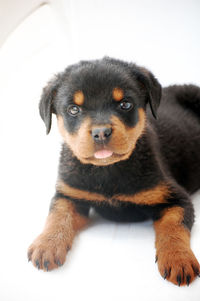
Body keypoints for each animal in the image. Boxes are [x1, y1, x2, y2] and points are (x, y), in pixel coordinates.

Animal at [27, 56, 200, 286]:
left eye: (125, 104)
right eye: (73, 109)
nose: (101, 132)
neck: (107, 170)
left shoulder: (175, 197)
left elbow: (173, 227)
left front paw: (178, 259)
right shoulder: (70, 193)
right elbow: (57, 214)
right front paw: (46, 244)